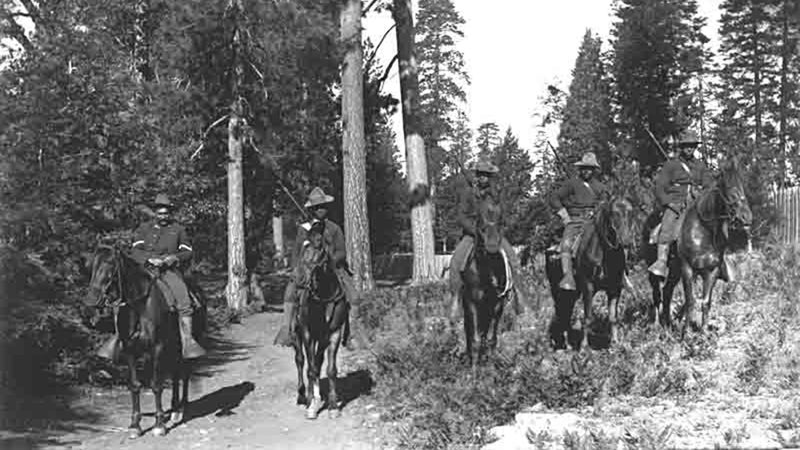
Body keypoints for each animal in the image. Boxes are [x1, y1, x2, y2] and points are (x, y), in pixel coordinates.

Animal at [83, 244, 203, 438]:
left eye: (110, 266)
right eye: (92, 266)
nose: (89, 302)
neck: (140, 306)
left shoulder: (157, 348)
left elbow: (156, 385)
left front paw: (159, 425)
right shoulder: (130, 350)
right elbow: (135, 385)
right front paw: (135, 425)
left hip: (186, 343)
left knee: (184, 372)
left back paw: (180, 410)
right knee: (176, 374)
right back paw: (174, 409)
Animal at [290, 220, 346, 420]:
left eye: (318, 245)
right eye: (303, 245)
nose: (298, 278)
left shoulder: (334, 332)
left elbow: (330, 370)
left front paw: (333, 406)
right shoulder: (307, 332)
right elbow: (310, 368)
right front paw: (311, 405)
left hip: (321, 338)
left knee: (318, 361)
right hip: (297, 335)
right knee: (301, 361)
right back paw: (303, 395)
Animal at [456, 200, 512, 370]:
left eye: (501, 222)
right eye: (480, 223)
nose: (492, 247)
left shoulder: (497, 305)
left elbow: (491, 339)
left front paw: (491, 367)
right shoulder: (472, 304)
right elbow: (474, 339)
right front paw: (474, 372)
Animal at [548, 198, 636, 352]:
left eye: (630, 212)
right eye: (614, 213)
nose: (626, 241)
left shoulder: (614, 288)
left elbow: (613, 317)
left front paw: (614, 344)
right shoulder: (588, 286)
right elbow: (588, 317)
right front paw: (584, 347)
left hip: (573, 293)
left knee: (567, 312)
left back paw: (568, 344)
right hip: (557, 291)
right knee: (561, 313)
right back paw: (562, 345)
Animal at [640, 159, 752, 334]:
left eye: (742, 185)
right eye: (728, 188)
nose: (746, 217)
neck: (703, 231)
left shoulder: (711, 272)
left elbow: (706, 302)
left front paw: (704, 332)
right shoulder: (687, 269)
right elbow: (690, 300)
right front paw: (686, 333)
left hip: (674, 271)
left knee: (667, 292)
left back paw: (668, 324)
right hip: (655, 269)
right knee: (657, 294)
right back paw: (658, 325)